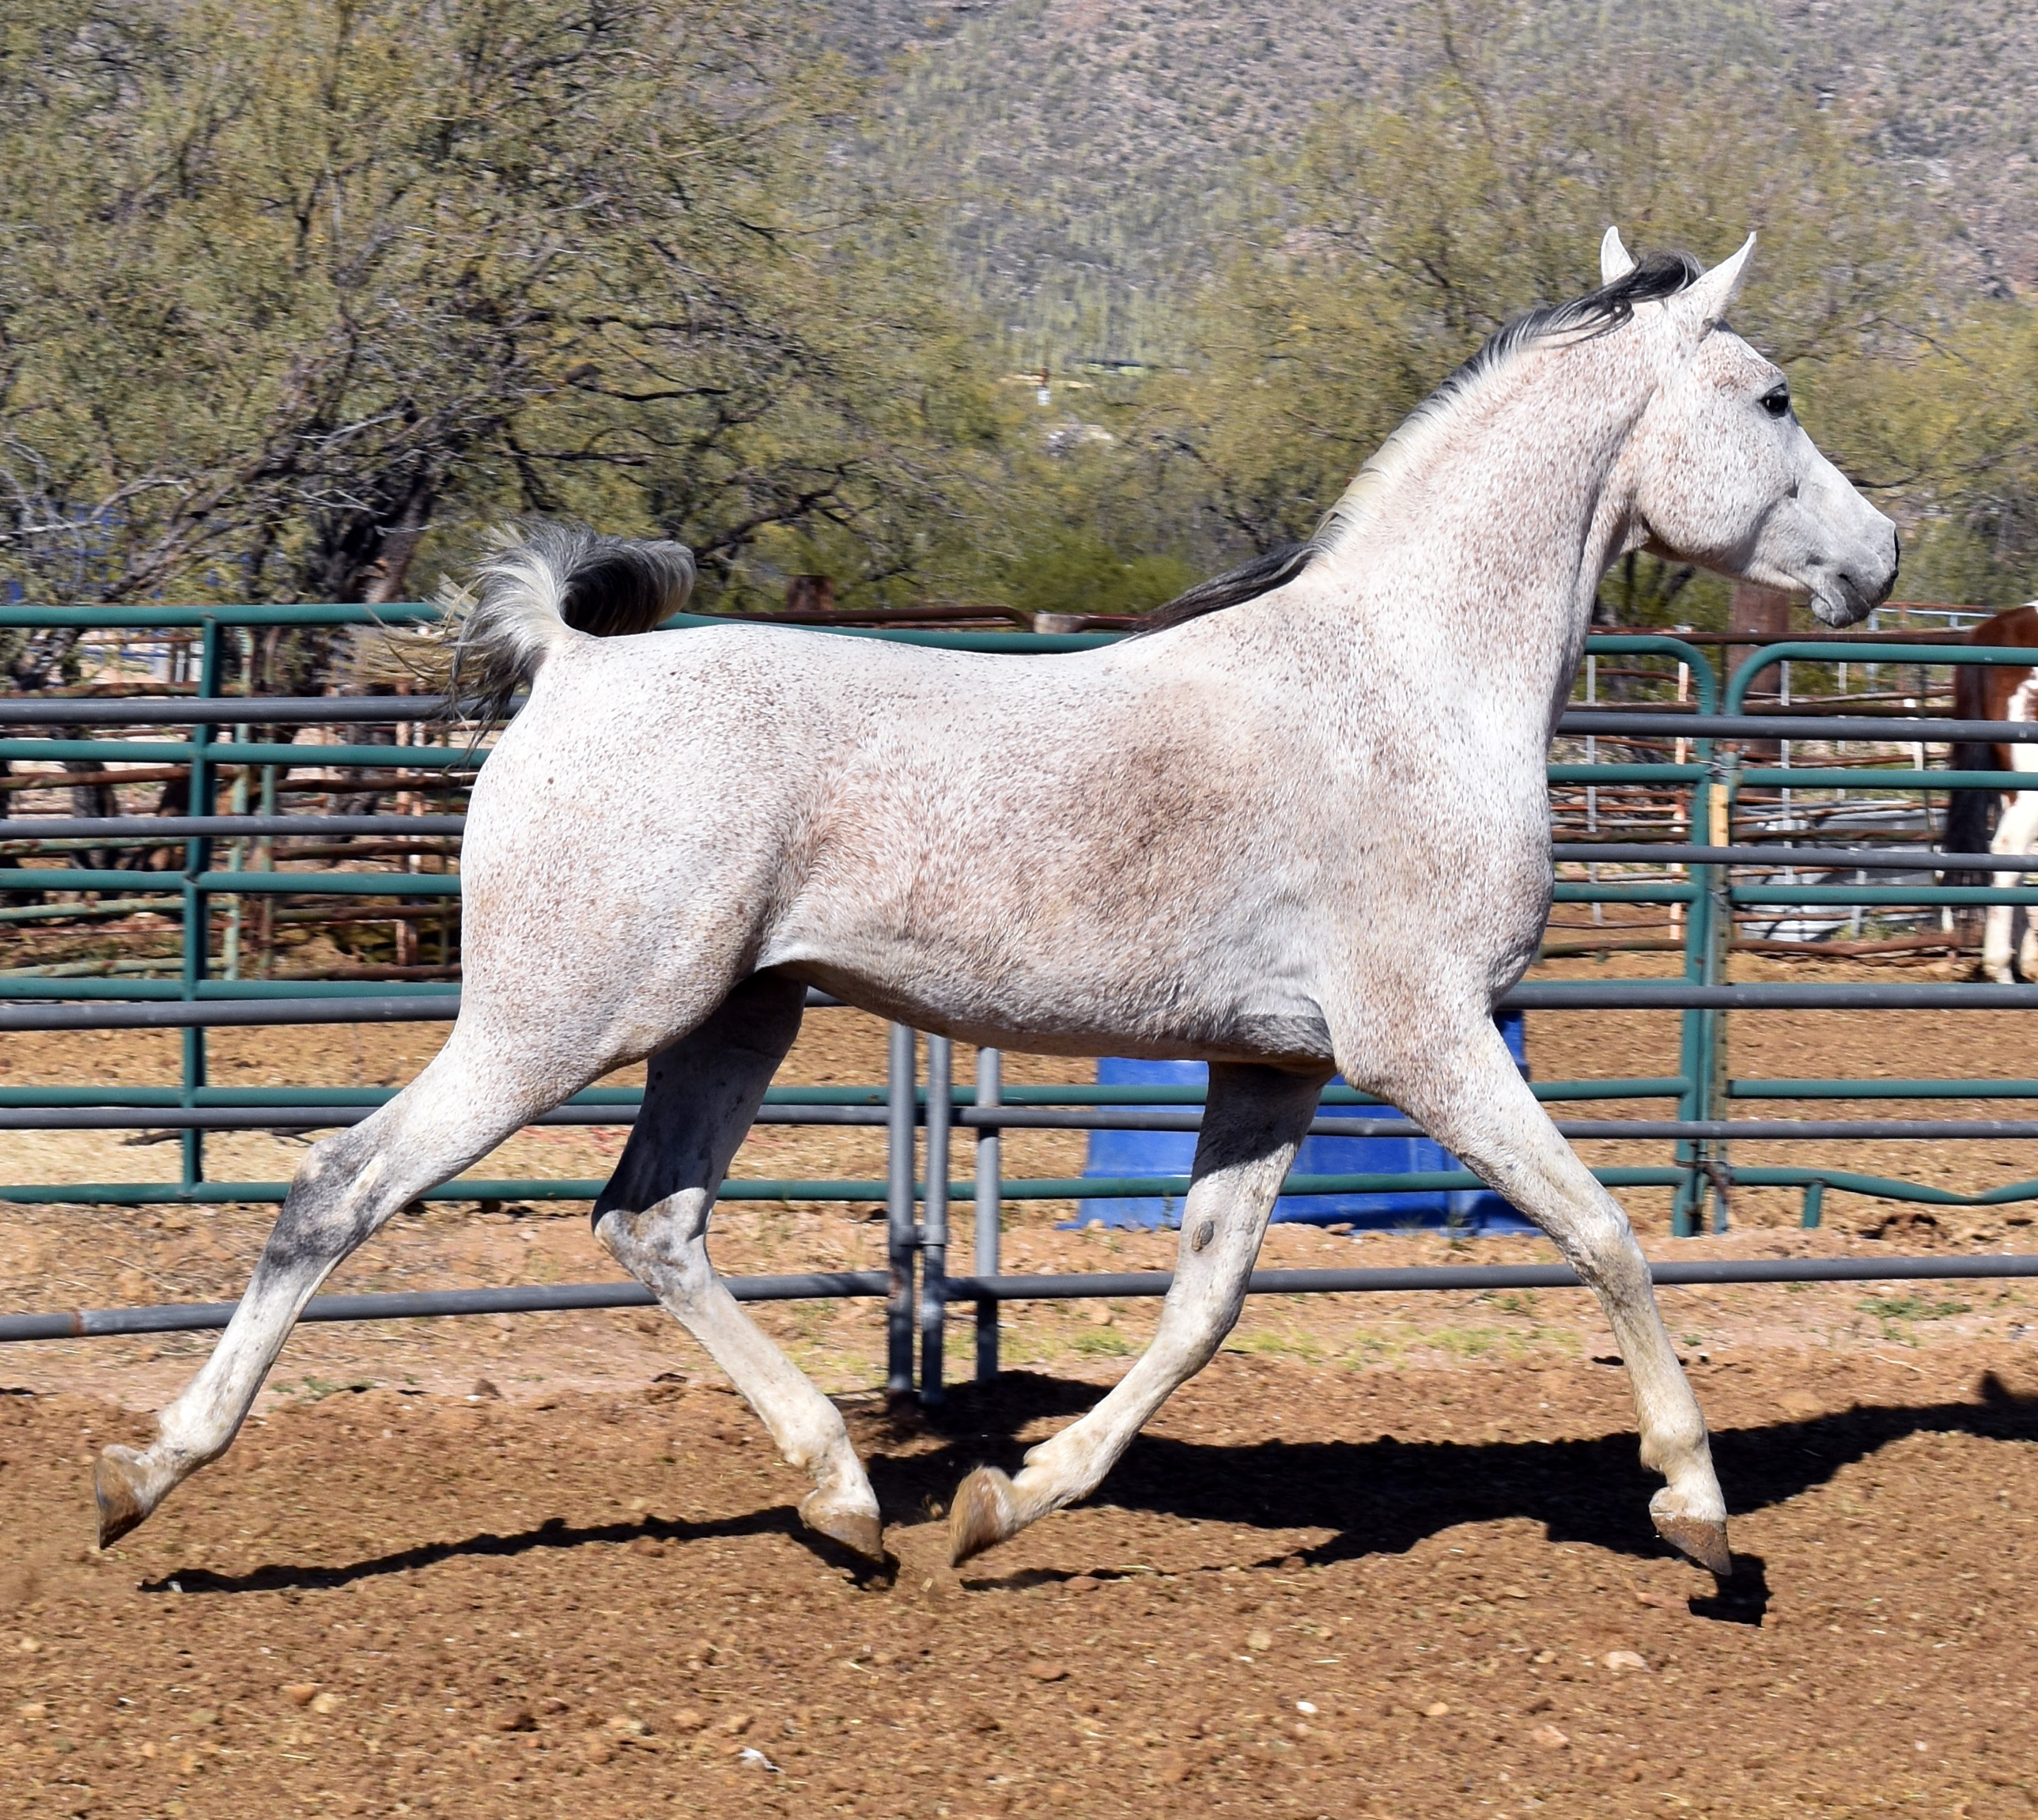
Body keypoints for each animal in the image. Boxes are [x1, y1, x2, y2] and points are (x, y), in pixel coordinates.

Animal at [93, 229, 1897, 1581]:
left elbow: (1201, 1306)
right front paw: (1700, 1516)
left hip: (737, 1018)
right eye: (1771, 394)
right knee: (338, 1190)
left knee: (650, 1222)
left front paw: (1004, 1501)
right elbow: (1604, 1234)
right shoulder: (1424, 1043)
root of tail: (575, 665)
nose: (1876, 559)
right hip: (560, 1020)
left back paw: (845, 1499)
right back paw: (146, 1474)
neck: (1405, 679)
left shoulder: (1276, 1066)